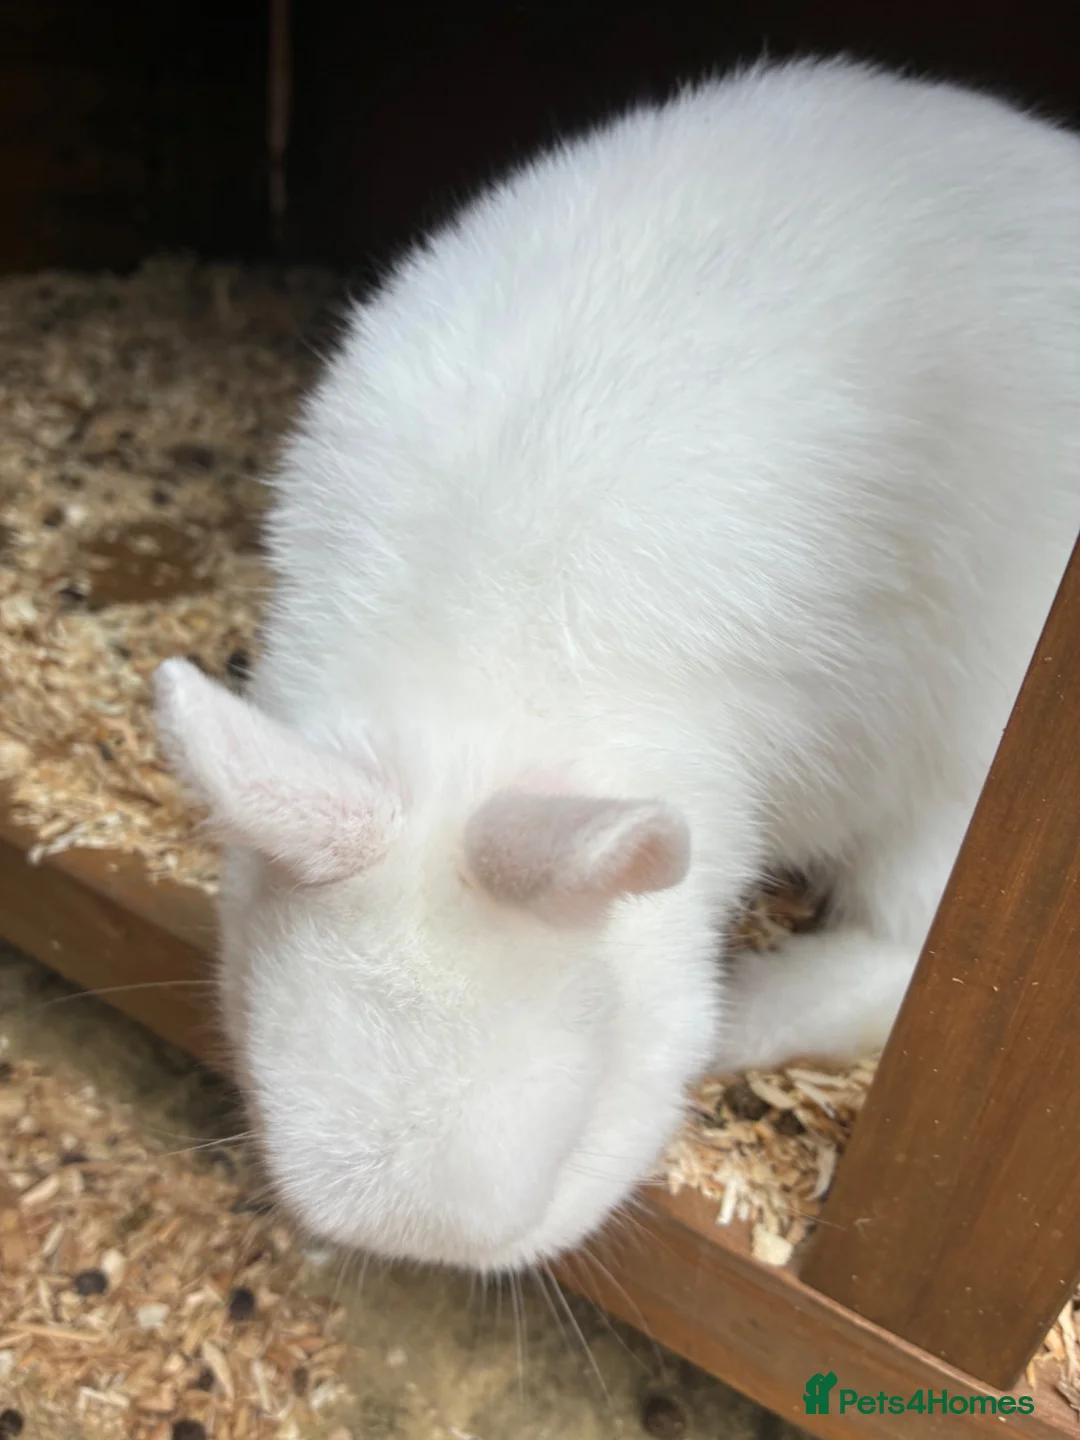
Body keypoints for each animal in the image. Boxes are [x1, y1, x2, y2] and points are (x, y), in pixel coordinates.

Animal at [153, 54, 1080, 1273]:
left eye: (578, 1128)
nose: (448, 1256)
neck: (480, 676)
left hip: (961, 780)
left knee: (901, 951)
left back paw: (752, 1013)